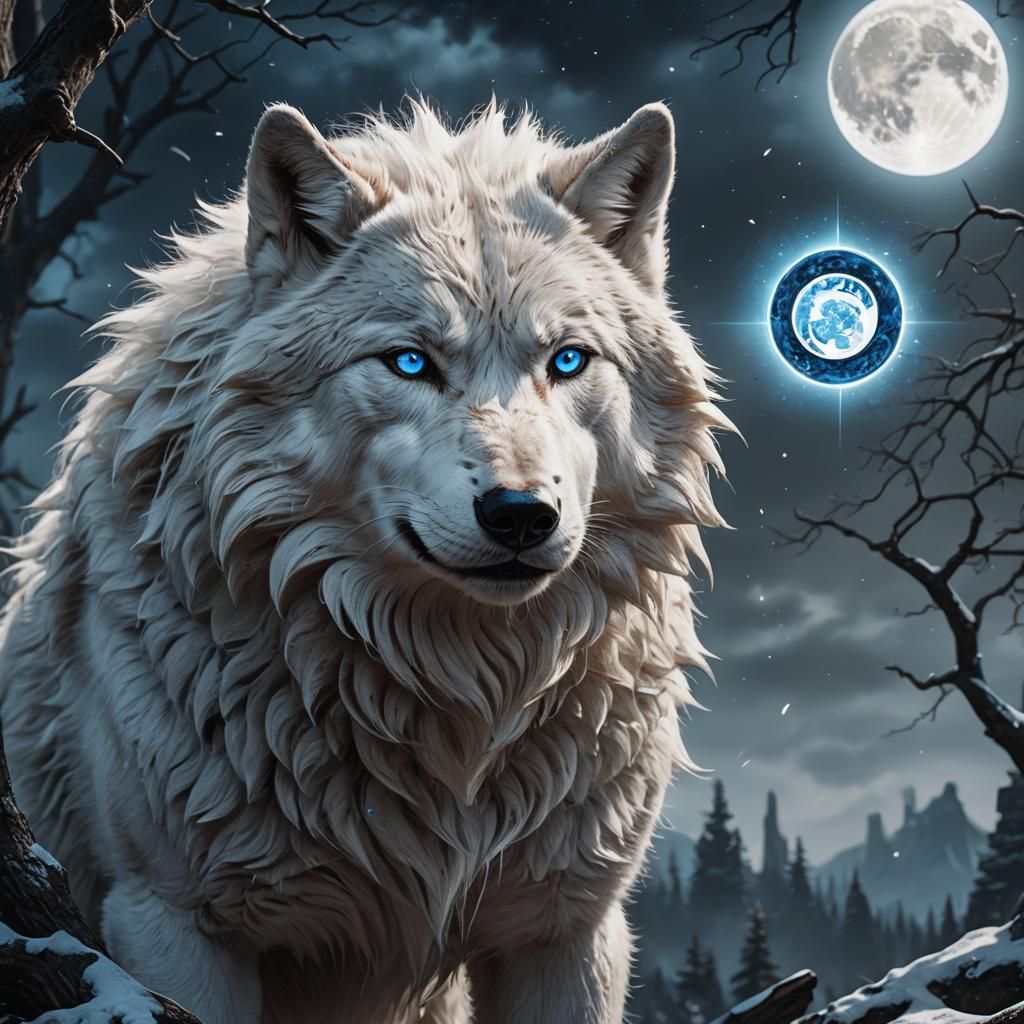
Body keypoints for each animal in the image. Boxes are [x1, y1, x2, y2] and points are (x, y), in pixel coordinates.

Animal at [0, 98, 727, 1023]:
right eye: (410, 362)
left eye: (567, 360)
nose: (522, 515)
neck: (451, 695)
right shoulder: (173, 925)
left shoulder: (564, 932)